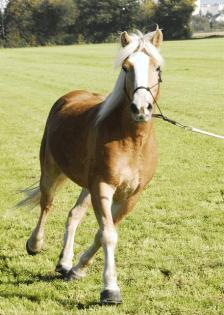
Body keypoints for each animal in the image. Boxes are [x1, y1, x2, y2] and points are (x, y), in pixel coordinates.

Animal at [18, 28, 163, 304]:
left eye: (157, 67)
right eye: (126, 67)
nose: (141, 108)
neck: (131, 141)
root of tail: (70, 96)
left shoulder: (130, 196)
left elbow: (102, 231)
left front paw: (77, 269)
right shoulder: (102, 187)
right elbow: (107, 234)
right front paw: (110, 289)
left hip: (87, 186)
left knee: (73, 214)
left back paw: (64, 262)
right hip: (51, 171)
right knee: (46, 205)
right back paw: (35, 244)